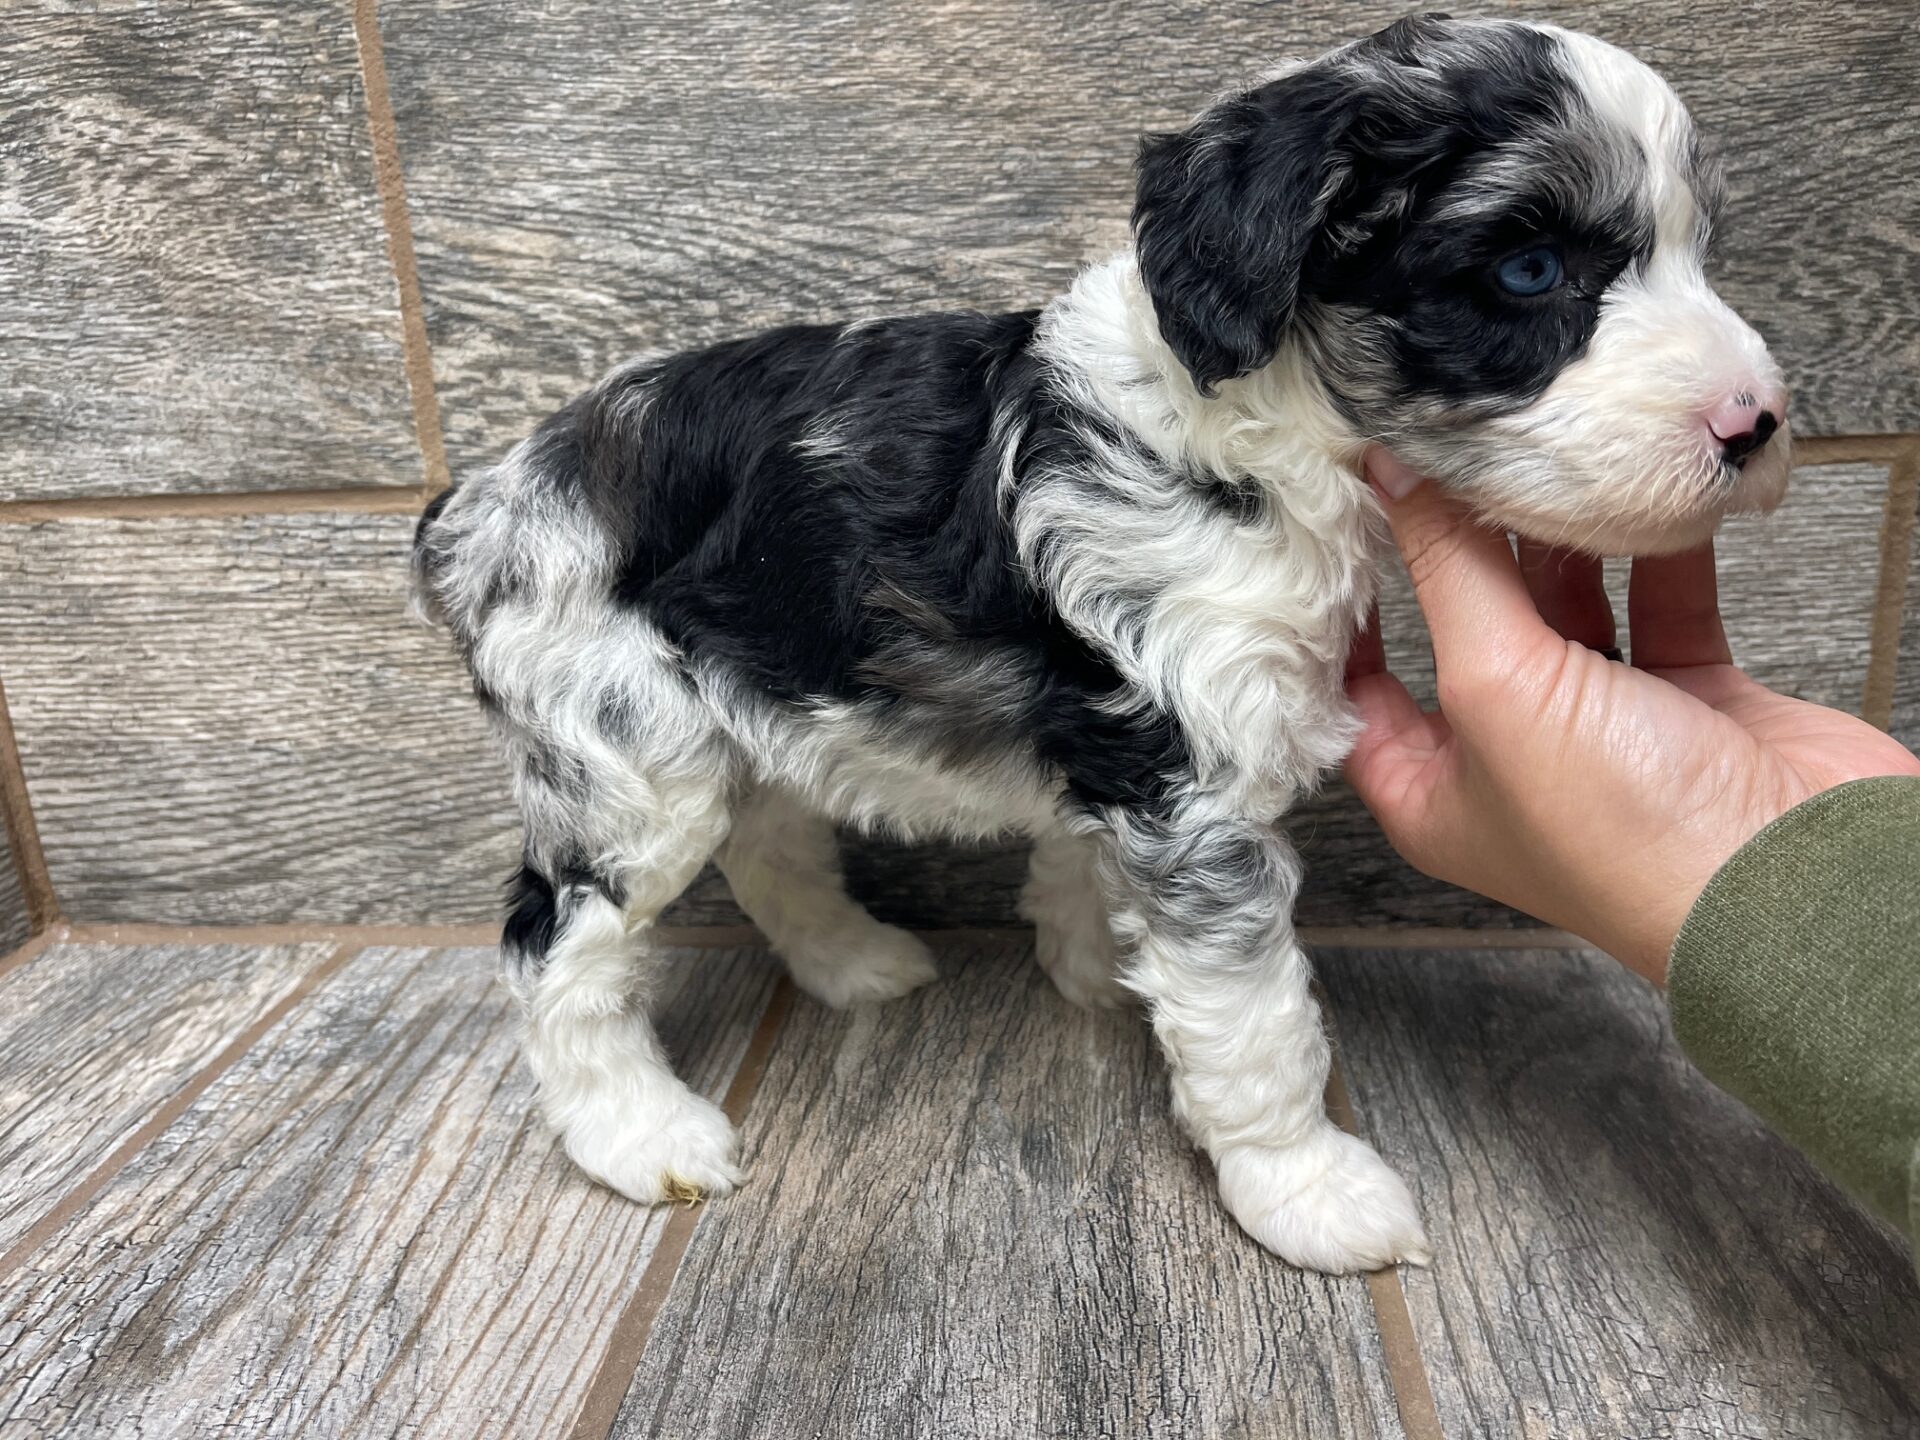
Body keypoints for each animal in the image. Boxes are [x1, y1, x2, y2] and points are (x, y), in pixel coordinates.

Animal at [412, 14, 1790, 1273]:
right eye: (1531, 271)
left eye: (1700, 253)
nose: (1757, 423)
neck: (1247, 426)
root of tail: (480, 502)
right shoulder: (1196, 794)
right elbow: (1256, 1016)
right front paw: (1302, 1185)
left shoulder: (1125, 760)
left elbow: (1090, 877)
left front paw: (1098, 971)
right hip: (624, 759)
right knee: (554, 945)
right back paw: (639, 1135)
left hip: (739, 706)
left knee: (771, 848)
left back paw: (855, 963)